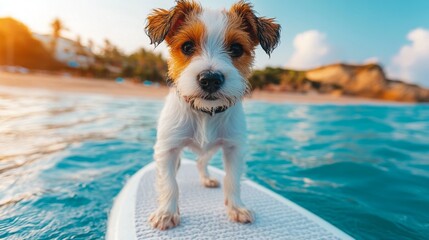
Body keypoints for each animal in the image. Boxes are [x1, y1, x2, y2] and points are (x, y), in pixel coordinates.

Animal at [145, 0, 280, 230]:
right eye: (187, 47)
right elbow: (169, 183)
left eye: (236, 48)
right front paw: (166, 212)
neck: (205, 113)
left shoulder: (234, 148)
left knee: (201, 162)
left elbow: (232, 180)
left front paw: (236, 208)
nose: (210, 79)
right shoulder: (168, 148)